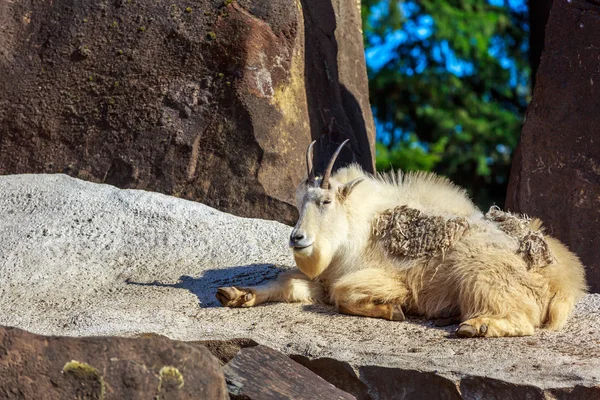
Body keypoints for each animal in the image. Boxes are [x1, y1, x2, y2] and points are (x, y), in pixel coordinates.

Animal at [216, 141, 584, 338]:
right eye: (298, 202)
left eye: (326, 201)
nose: (298, 238)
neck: (360, 231)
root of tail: (565, 282)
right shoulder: (323, 277)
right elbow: (288, 285)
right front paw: (234, 293)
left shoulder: (382, 276)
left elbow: (343, 294)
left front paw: (394, 308)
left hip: (479, 272)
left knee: (522, 321)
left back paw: (475, 326)